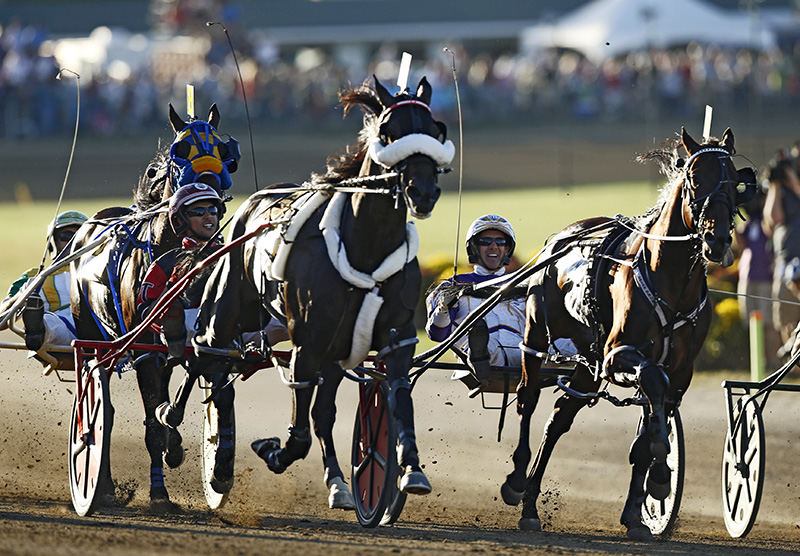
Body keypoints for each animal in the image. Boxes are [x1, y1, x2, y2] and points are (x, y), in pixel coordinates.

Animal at [69, 105, 238, 512]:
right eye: (182, 149)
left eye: (223, 149)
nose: (210, 189)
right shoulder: (147, 351)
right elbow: (152, 425)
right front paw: (160, 492)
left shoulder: (195, 341)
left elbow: (200, 390)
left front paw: (206, 460)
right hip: (93, 339)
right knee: (102, 409)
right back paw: (103, 485)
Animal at [194, 76, 454, 510]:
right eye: (388, 131)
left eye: (436, 130)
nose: (424, 192)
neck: (365, 247)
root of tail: (256, 199)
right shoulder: (308, 342)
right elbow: (298, 429)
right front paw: (272, 450)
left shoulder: (395, 337)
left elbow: (397, 398)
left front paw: (411, 469)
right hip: (228, 306)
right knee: (210, 360)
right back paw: (200, 445)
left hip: (335, 349)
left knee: (324, 412)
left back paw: (337, 482)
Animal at [500, 127, 756, 540]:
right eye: (694, 178)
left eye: (734, 180)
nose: (716, 242)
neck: (670, 280)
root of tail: (560, 238)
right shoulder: (619, 354)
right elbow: (651, 386)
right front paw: (662, 476)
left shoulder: (679, 372)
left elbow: (650, 427)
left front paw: (639, 511)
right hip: (538, 338)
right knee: (527, 401)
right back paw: (517, 482)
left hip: (588, 362)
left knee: (559, 417)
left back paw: (531, 506)